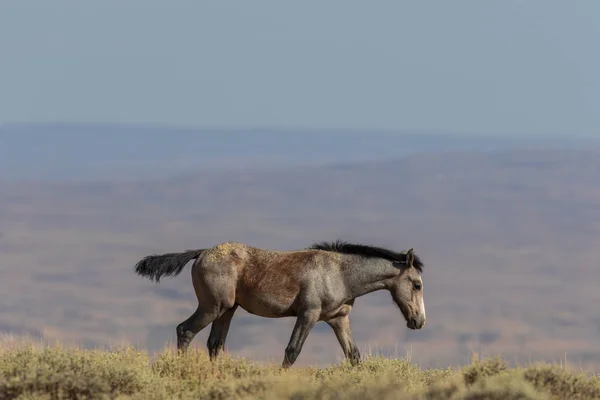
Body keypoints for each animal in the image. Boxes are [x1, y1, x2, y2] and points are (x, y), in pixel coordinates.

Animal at [134, 239, 424, 368]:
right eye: (417, 285)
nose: (419, 321)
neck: (339, 273)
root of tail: (201, 252)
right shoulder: (308, 315)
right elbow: (292, 351)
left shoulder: (338, 319)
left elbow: (354, 356)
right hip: (212, 308)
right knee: (185, 330)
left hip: (227, 310)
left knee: (214, 344)